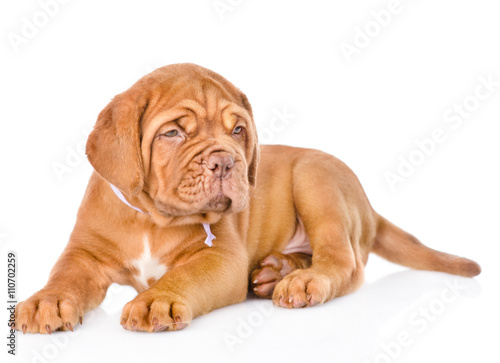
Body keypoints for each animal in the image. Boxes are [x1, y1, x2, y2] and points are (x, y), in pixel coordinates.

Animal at [14, 63, 480, 336]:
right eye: (172, 133)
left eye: (238, 130)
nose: (225, 161)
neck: (152, 219)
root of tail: (369, 207)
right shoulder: (85, 252)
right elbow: (65, 275)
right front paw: (47, 300)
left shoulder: (221, 258)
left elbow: (184, 276)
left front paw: (156, 299)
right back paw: (278, 270)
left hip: (316, 178)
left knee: (344, 261)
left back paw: (302, 280)